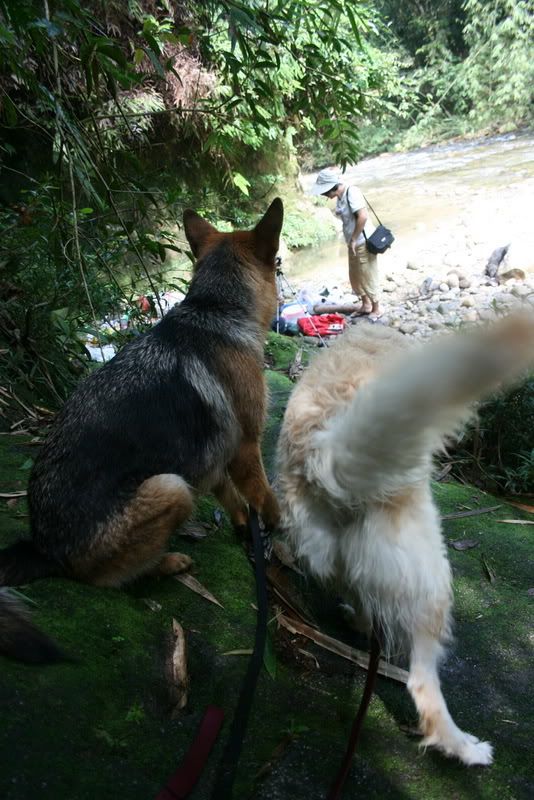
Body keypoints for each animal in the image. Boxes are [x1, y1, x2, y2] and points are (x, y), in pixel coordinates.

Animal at [0, 199, 283, 660]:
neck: (213, 307)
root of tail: (45, 549)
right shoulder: (245, 447)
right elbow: (263, 494)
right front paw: (275, 524)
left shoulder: (216, 457)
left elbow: (230, 494)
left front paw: (244, 525)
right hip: (170, 487)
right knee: (105, 579)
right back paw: (167, 562)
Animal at [277, 315, 534, 766]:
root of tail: (325, 457)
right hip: (429, 585)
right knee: (420, 684)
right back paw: (465, 748)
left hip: (340, 559)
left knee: (363, 600)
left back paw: (357, 621)